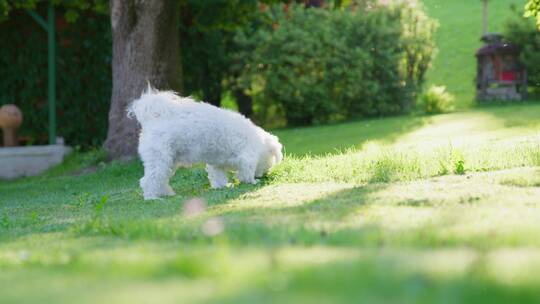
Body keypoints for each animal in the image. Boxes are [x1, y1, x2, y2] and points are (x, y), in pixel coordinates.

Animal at [128, 86, 284, 200]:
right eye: (267, 165)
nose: (262, 176)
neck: (258, 142)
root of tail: (153, 119)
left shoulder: (218, 163)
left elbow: (218, 176)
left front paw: (222, 186)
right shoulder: (247, 157)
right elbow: (247, 171)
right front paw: (252, 181)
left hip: (169, 162)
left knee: (161, 179)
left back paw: (166, 193)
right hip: (160, 160)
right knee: (149, 180)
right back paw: (152, 197)